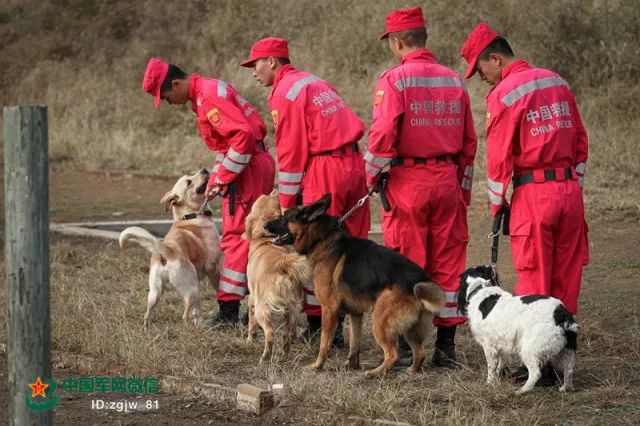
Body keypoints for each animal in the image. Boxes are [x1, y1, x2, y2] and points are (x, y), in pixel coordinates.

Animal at [119, 168, 221, 328]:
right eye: (189, 182)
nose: (204, 169)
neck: (190, 216)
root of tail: (165, 252)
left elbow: (197, 311)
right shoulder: (213, 266)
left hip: (155, 292)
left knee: (148, 313)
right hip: (192, 289)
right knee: (186, 313)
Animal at [241, 192, 312, 362]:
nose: (275, 190)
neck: (266, 240)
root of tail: (281, 264)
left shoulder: (252, 298)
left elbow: (251, 324)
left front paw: (250, 340)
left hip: (262, 309)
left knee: (270, 333)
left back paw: (265, 356)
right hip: (291, 309)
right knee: (286, 335)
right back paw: (285, 354)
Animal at [264, 195, 444, 374]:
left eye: (285, 217)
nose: (265, 225)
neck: (322, 237)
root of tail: (420, 279)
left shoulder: (329, 309)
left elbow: (324, 343)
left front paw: (317, 365)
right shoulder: (356, 313)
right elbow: (354, 342)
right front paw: (351, 364)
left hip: (379, 320)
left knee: (393, 354)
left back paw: (374, 373)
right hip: (410, 329)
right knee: (419, 352)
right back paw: (410, 371)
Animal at [458, 264, 576, 394]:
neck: (480, 288)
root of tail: (561, 313)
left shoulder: (488, 345)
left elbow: (491, 366)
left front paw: (489, 383)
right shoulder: (500, 343)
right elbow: (500, 363)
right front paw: (499, 377)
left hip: (529, 349)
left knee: (536, 373)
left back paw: (521, 391)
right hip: (565, 349)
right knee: (569, 369)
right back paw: (566, 388)